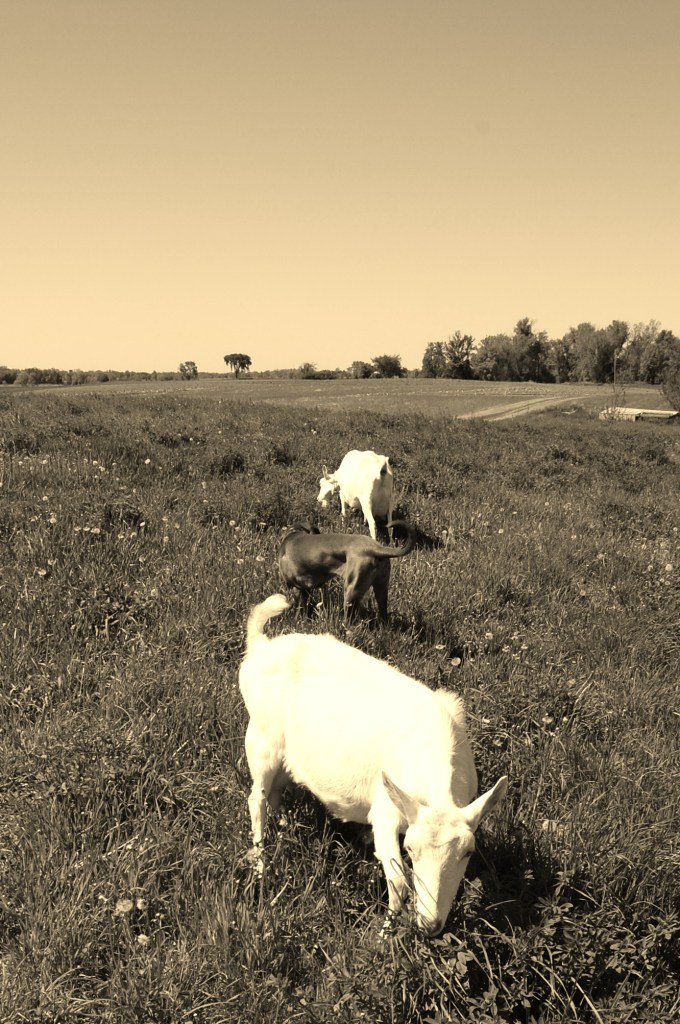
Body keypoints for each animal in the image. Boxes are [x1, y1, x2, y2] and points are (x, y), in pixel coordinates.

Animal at [239, 594, 508, 936]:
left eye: (468, 852)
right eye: (410, 849)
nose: (430, 925)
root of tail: (260, 647)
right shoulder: (386, 811)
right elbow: (399, 880)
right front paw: (386, 934)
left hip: (287, 757)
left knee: (275, 791)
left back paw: (288, 827)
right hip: (262, 739)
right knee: (256, 798)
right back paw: (262, 864)